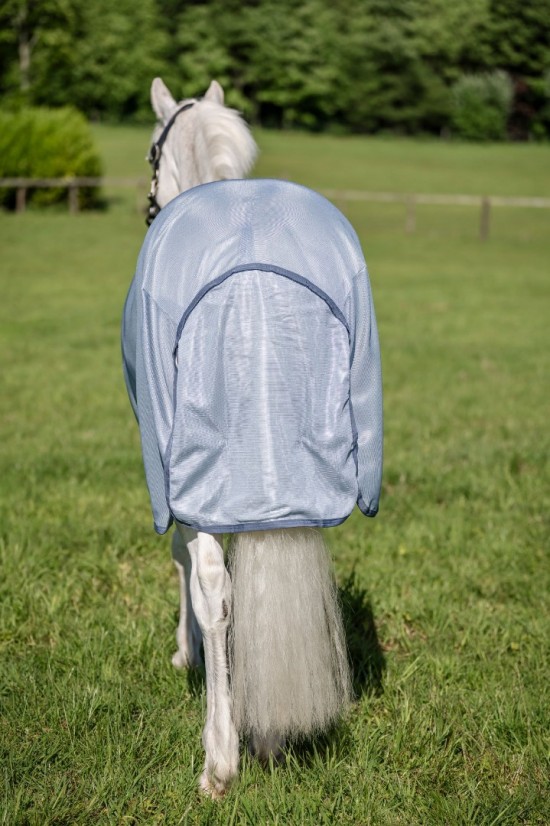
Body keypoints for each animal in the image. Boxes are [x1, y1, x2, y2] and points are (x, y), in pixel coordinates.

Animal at [121, 78, 383, 798]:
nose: (148, 205)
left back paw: (221, 759)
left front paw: (187, 655)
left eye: (151, 154)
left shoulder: (173, 481)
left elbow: (188, 567)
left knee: (214, 585)